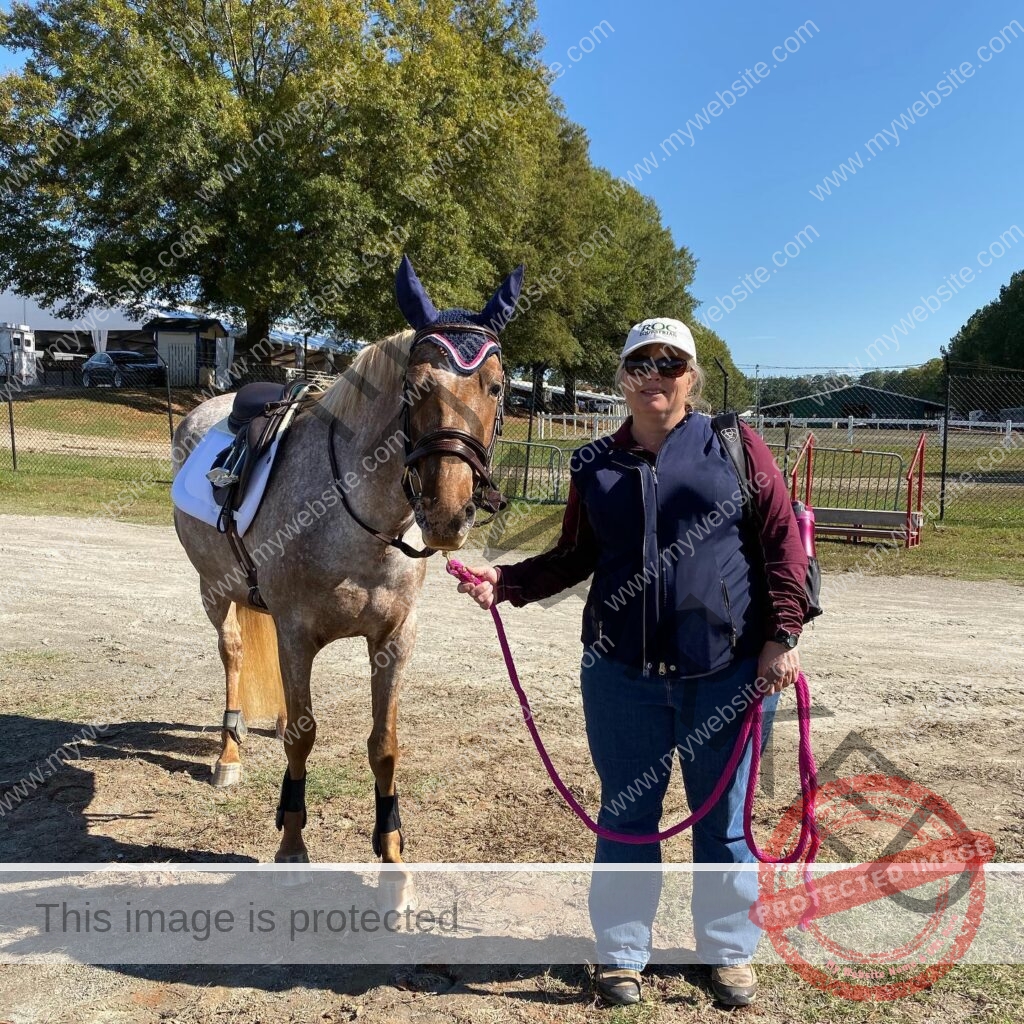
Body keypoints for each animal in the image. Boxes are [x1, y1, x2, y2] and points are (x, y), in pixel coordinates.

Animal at [171, 256, 523, 868]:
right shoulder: (296, 634)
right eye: (417, 386)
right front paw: (291, 842)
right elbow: (303, 739)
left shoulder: (395, 639)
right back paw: (228, 755)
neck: (357, 521)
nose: (448, 512)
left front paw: (392, 849)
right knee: (233, 653)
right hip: (214, 590)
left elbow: (384, 745)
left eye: (496, 387)